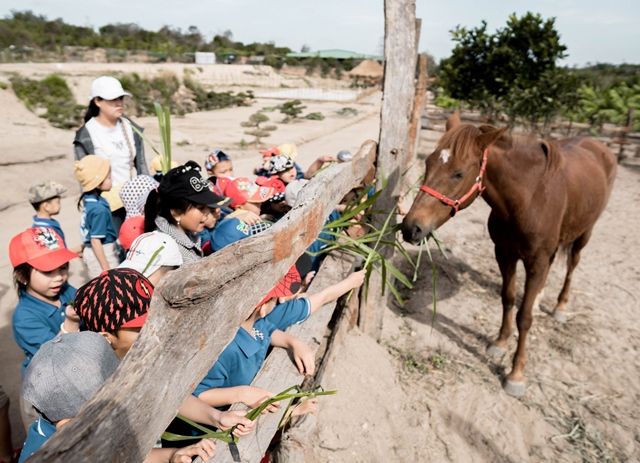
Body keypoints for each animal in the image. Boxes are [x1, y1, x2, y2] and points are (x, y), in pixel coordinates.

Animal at [402, 116, 616, 396]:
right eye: (428, 163)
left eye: (459, 173)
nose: (410, 228)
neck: (530, 198)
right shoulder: (504, 254)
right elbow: (508, 298)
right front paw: (500, 342)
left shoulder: (535, 262)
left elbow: (524, 317)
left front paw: (516, 374)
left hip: (584, 234)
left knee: (572, 265)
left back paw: (560, 306)